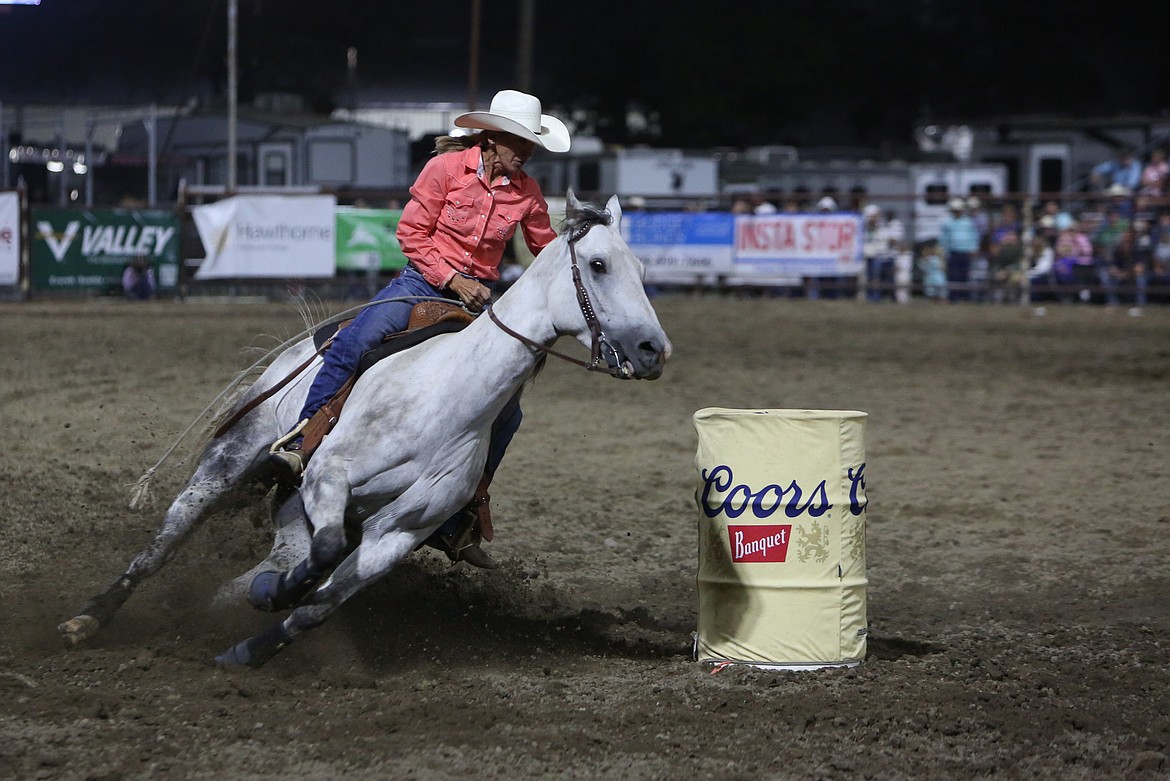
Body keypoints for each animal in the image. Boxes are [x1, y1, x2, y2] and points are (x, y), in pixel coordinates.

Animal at [59, 191, 673, 668]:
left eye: (643, 272)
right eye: (598, 264)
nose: (653, 350)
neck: (446, 401)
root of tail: (305, 348)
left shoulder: (396, 536)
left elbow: (319, 604)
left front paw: (249, 646)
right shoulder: (327, 478)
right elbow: (325, 554)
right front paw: (278, 595)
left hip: (290, 514)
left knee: (243, 578)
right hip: (230, 460)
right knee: (160, 547)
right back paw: (86, 620)